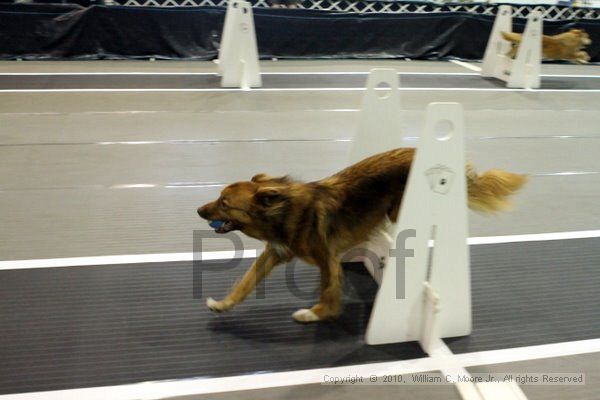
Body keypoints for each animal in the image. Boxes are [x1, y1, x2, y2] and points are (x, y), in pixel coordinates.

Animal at [197, 148, 524, 324]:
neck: (283, 212)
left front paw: (315, 314)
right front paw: (223, 305)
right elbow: (245, 283)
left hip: (402, 206)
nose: (199, 210)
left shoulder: (328, 259)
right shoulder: (274, 253)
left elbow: (329, 292)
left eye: (224, 203)